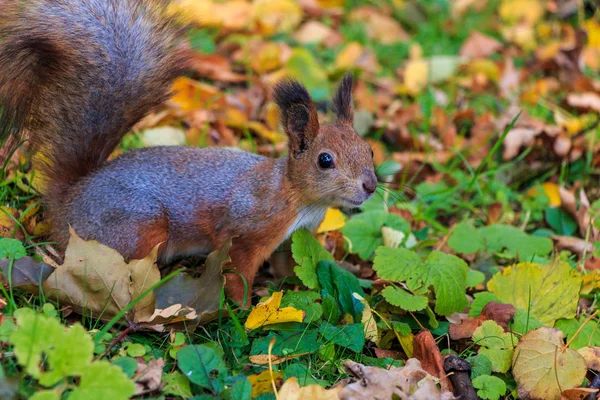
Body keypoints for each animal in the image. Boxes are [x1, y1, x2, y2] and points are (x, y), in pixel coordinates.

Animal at [0, 0, 378, 304]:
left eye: (369, 150)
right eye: (325, 160)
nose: (371, 186)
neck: (296, 197)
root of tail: (70, 200)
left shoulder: (292, 239)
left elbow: (291, 264)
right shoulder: (245, 234)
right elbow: (237, 274)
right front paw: (245, 311)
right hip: (138, 225)